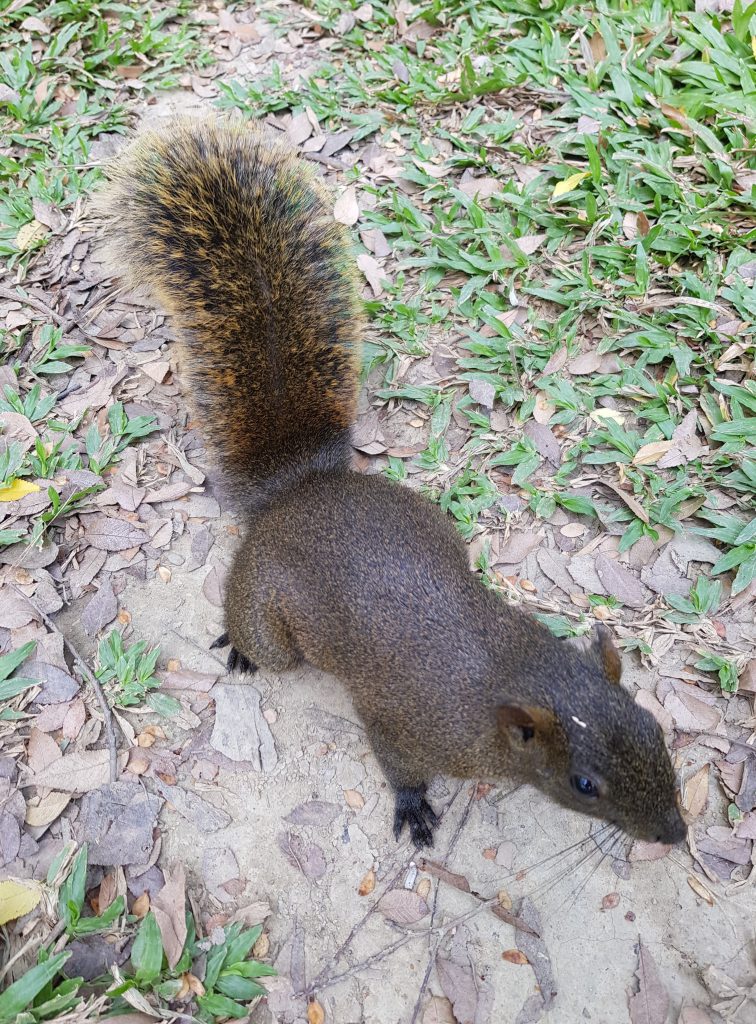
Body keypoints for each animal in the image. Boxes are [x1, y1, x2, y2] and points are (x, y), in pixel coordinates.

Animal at [94, 117, 684, 847]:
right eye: (584, 784)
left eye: (654, 726)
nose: (677, 834)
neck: (507, 675)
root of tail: (302, 487)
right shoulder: (400, 724)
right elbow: (399, 766)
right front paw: (413, 807)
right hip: (266, 607)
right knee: (256, 633)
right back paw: (240, 646)